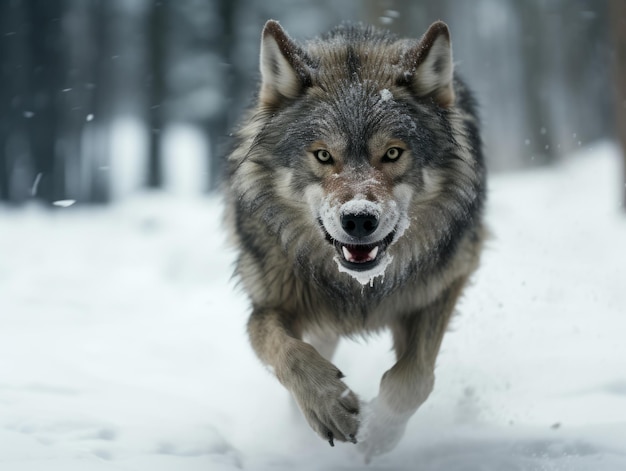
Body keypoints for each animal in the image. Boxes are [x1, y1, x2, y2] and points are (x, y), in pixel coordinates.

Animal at [222, 19, 486, 460]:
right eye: (323, 156)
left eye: (393, 153)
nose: (359, 219)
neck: (360, 290)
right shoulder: (269, 304)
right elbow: (288, 352)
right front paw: (328, 405)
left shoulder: (443, 283)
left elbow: (414, 378)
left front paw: (379, 433)